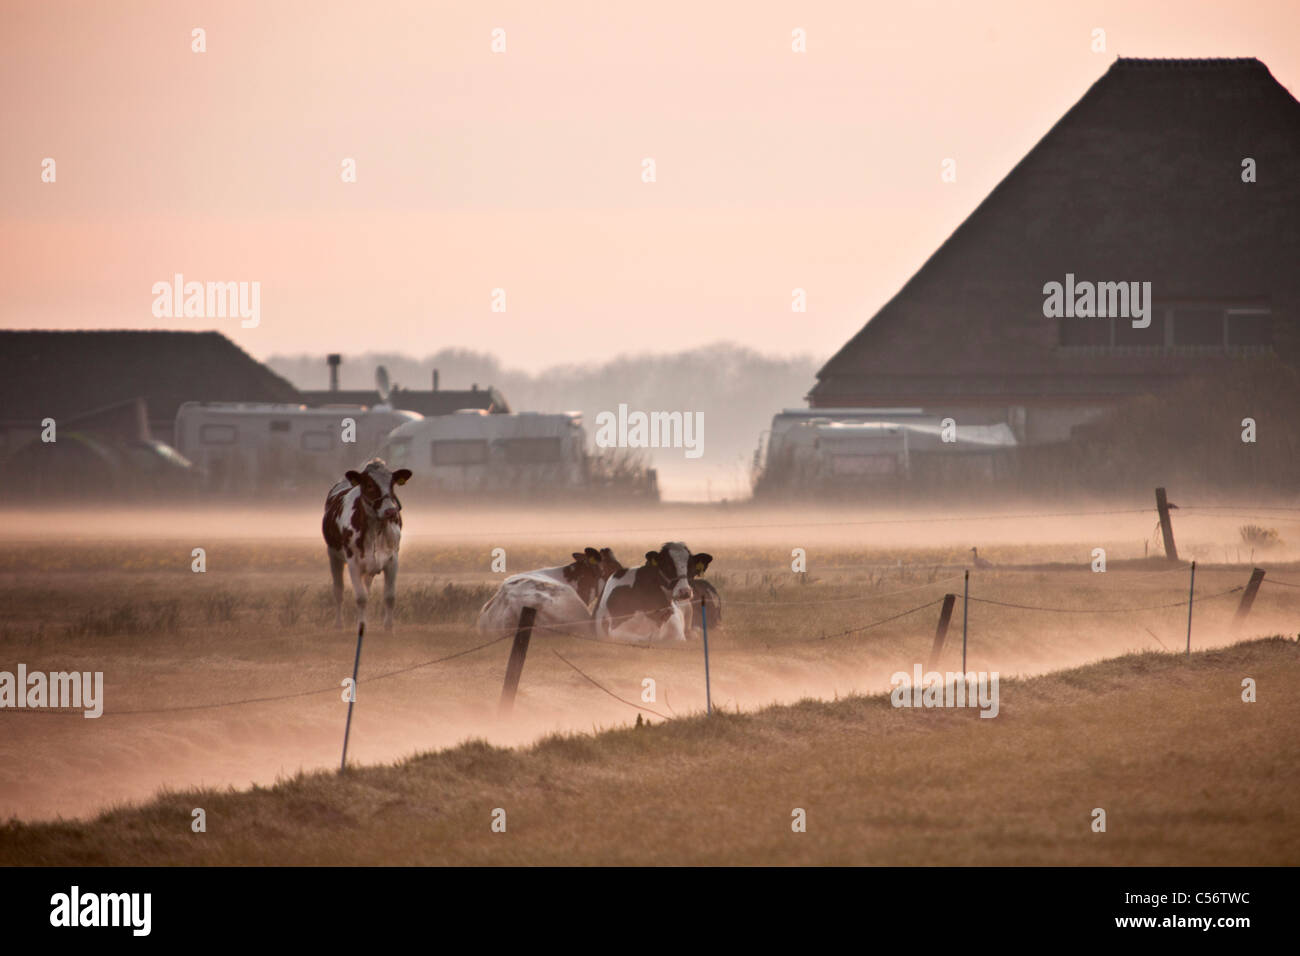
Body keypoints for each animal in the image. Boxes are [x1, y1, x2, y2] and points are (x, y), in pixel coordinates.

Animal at [321, 457, 410, 632]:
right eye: (369, 485)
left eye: (392, 484)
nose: (390, 511)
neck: (375, 529)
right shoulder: (353, 562)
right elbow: (361, 597)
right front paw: (361, 626)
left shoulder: (392, 559)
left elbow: (389, 596)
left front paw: (389, 628)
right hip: (333, 556)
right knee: (338, 591)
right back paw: (338, 624)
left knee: (366, 587)